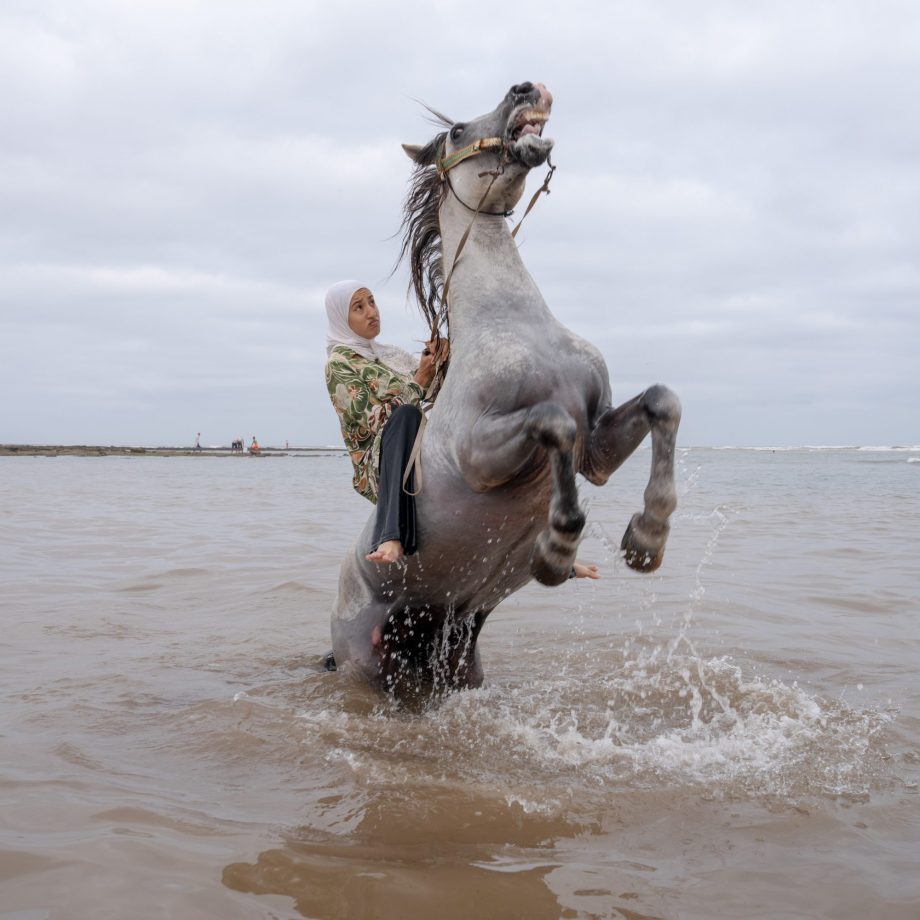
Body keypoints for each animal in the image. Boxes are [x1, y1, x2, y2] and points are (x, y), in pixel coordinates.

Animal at [330, 81, 681, 700]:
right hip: (365, 665)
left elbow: (663, 401)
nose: (526, 89)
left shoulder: (597, 449)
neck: (513, 321)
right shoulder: (481, 453)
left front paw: (647, 539)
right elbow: (553, 422)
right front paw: (557, 548)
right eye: (455, 131)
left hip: (455, 650)